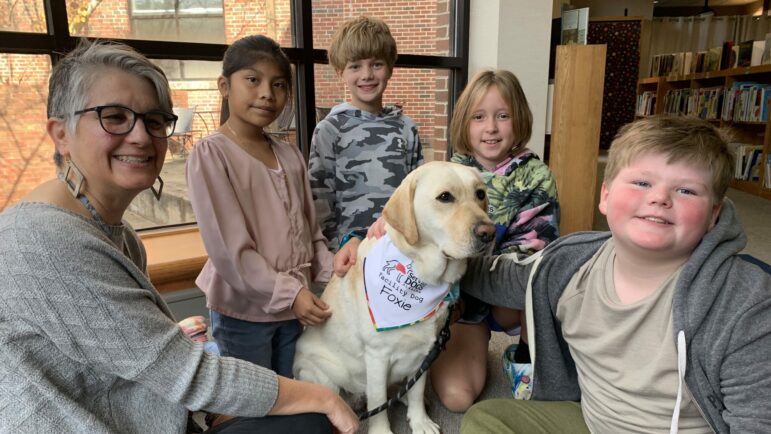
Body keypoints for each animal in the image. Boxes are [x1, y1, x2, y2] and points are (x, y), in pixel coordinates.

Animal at [292, 162, 498, 434]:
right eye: (445, 197)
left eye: (480, 194)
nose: (489, 232)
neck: (422, 278)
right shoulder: (377, 357)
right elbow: (378, 402)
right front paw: (381, 430)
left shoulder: (425, 353)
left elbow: (416, 392)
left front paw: (420, 421)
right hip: (320, 373)